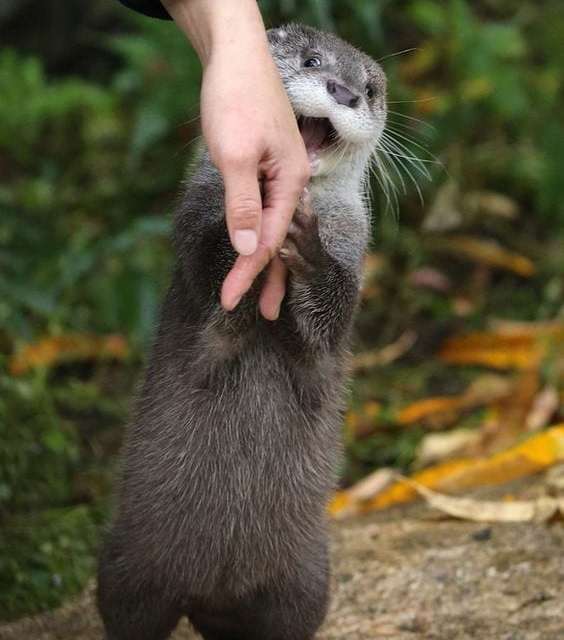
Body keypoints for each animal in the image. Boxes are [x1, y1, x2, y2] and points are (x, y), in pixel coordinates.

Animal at [97, 23, 388, 640]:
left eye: (371, 89)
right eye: (312, 60)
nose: (345, 92)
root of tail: (213, 594)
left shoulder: (354, 264)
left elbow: (326, 323)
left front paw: (308, 251)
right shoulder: (195, 229)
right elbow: (215, 277)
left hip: (307, 583)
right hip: (126, 566)